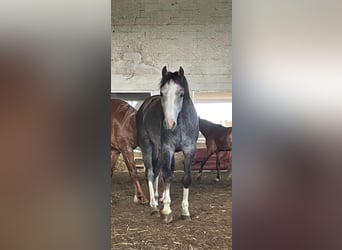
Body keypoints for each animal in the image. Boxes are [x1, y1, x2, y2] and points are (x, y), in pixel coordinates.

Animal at [136, 66, 199, 223]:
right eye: (162, 93)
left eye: (181, 94)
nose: (169, 123)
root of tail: (144, 106)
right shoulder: (168, 149)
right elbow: (168, 176)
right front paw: (166, 210)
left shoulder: (190, 150)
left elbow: (186, 178)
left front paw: (185, 212)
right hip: (148, 146)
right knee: (150, 173)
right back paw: (154, 206)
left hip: (158, 150)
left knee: (157, 171)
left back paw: (158, 198)